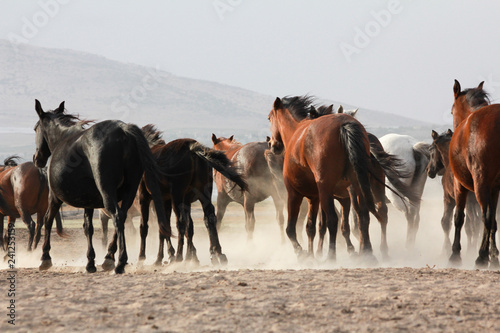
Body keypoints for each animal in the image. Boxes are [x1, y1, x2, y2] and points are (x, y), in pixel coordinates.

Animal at [33, 100, 171, 274]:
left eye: (35, 128)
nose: (36, 159)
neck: (62, 139)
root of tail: (124, 130)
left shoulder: (54, 197)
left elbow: (48, 220)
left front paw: (45, 258)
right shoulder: (88, 202)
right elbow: (88, 227)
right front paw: (90, 262)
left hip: (108, 193)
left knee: (118, 217)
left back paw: (120, 262)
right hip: (129, 192)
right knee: (122, 217)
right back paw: (109, 258)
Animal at [136, 124, 247, 264]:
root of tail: (191, 148)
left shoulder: (145, 198)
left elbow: (145, 227)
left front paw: (144, 257)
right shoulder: (169, 200)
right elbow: (170, 227)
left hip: (177, 196)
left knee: (180, 222)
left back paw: (179, 256)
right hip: (203, 195)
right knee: (209, 217)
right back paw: (218, 254)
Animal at [450, 80, 500, 268]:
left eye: (452, 111)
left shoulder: (459, 186)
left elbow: (459, 218)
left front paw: (455, 254)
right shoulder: (494, 189)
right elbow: (494, 223)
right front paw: (494, 255)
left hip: (479, 185)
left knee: (485, 217)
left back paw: (481, 256)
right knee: (491, 219)